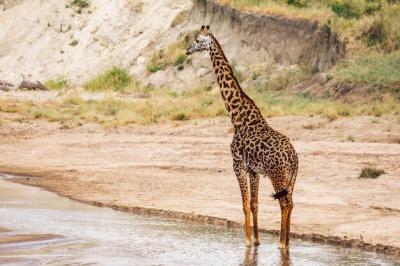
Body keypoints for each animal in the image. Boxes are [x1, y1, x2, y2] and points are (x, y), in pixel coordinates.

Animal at [187, 26, 296, 248]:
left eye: (197, 40)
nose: (187, 51)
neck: (237, 116)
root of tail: (295, 158)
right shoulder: (253, 170)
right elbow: (254, 204)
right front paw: (256, 241)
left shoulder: (237, 164)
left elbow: (244, 203)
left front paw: (246, 241)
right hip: (290, 178)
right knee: (291, 203)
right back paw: (287, 243)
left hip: (277, 175)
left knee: (284, 203)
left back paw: (282, 244)